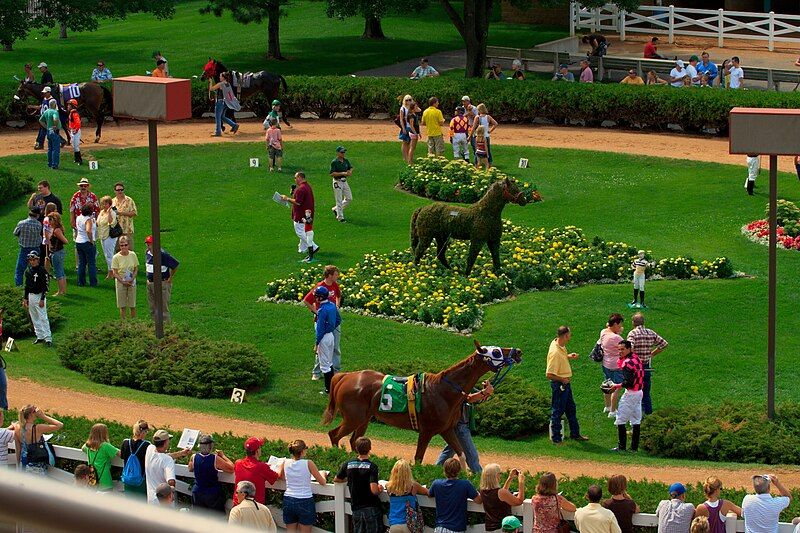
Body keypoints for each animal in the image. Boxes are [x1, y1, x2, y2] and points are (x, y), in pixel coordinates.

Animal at [322, 340, 520, 466]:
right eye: (495, 351)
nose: (518, 351)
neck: (444, 390)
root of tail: (345, 376)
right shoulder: (427, 431)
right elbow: (418, 458)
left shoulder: (447, 429)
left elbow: (462, 454)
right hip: (353, 418)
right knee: (334, 435)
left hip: (364, 419)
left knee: (354, 440)